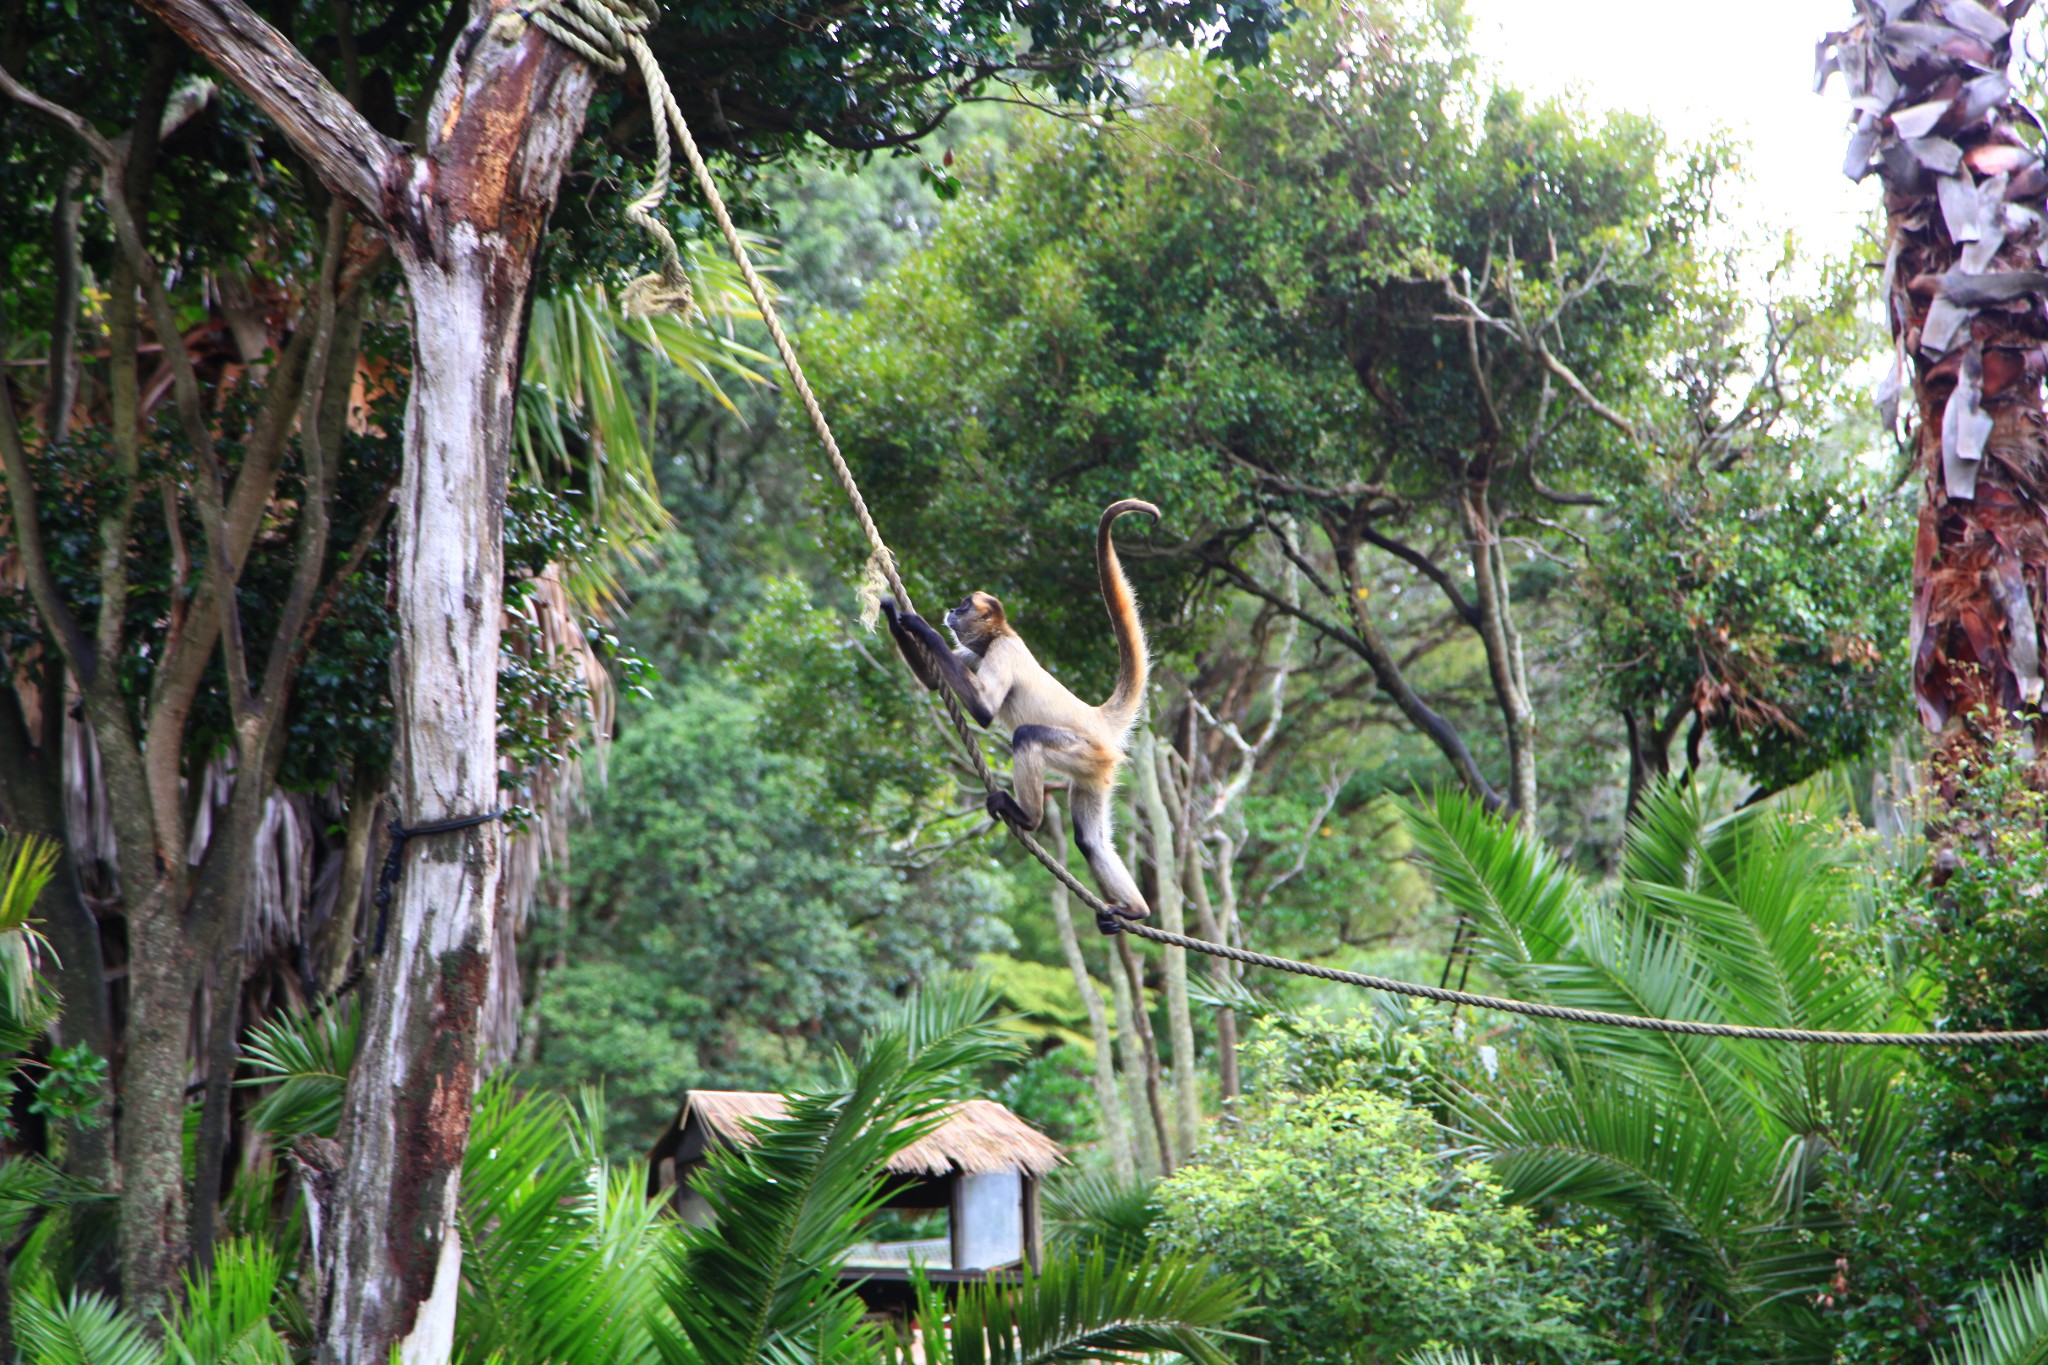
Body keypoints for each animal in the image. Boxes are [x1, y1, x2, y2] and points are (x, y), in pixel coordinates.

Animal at [884, 497, 1163, 925]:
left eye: (964, 605)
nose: (952, 610)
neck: (1002, 634)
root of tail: (1096, 717)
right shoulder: (979, 652)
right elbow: (934, 682)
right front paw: (890, 610)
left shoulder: (1002, 650)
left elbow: (984, 711)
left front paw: (921, 626)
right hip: (1095, 771)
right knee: (1089, 841)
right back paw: (1135, 909)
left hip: (1083, 750)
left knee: (1026, 736)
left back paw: (1028, 818)